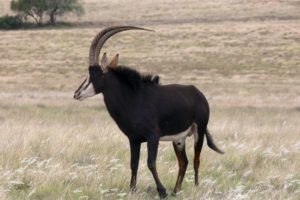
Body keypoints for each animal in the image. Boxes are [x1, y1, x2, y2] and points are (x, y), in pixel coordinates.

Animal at [74, 25, 224, 198]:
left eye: (95, 74)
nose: (76, 94)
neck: (133, 98)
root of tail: (198, 94)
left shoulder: (153, 137)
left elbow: (150, 163)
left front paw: (162, 191)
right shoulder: (134, 139)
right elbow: (133, 164)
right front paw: (132, 190)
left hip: (199, 131)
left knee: (196, 159)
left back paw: (195, 187)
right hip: (178, 139)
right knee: (183, 162)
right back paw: (176, 191)